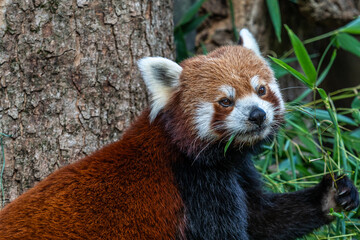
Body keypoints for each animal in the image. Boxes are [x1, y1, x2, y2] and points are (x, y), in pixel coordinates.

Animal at [0, 29, 358, 239]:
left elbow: (261, 220)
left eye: (261, 89)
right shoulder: (195, 187)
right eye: (225, 101)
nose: (257, 115)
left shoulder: (236, 173)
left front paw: (333, 195)